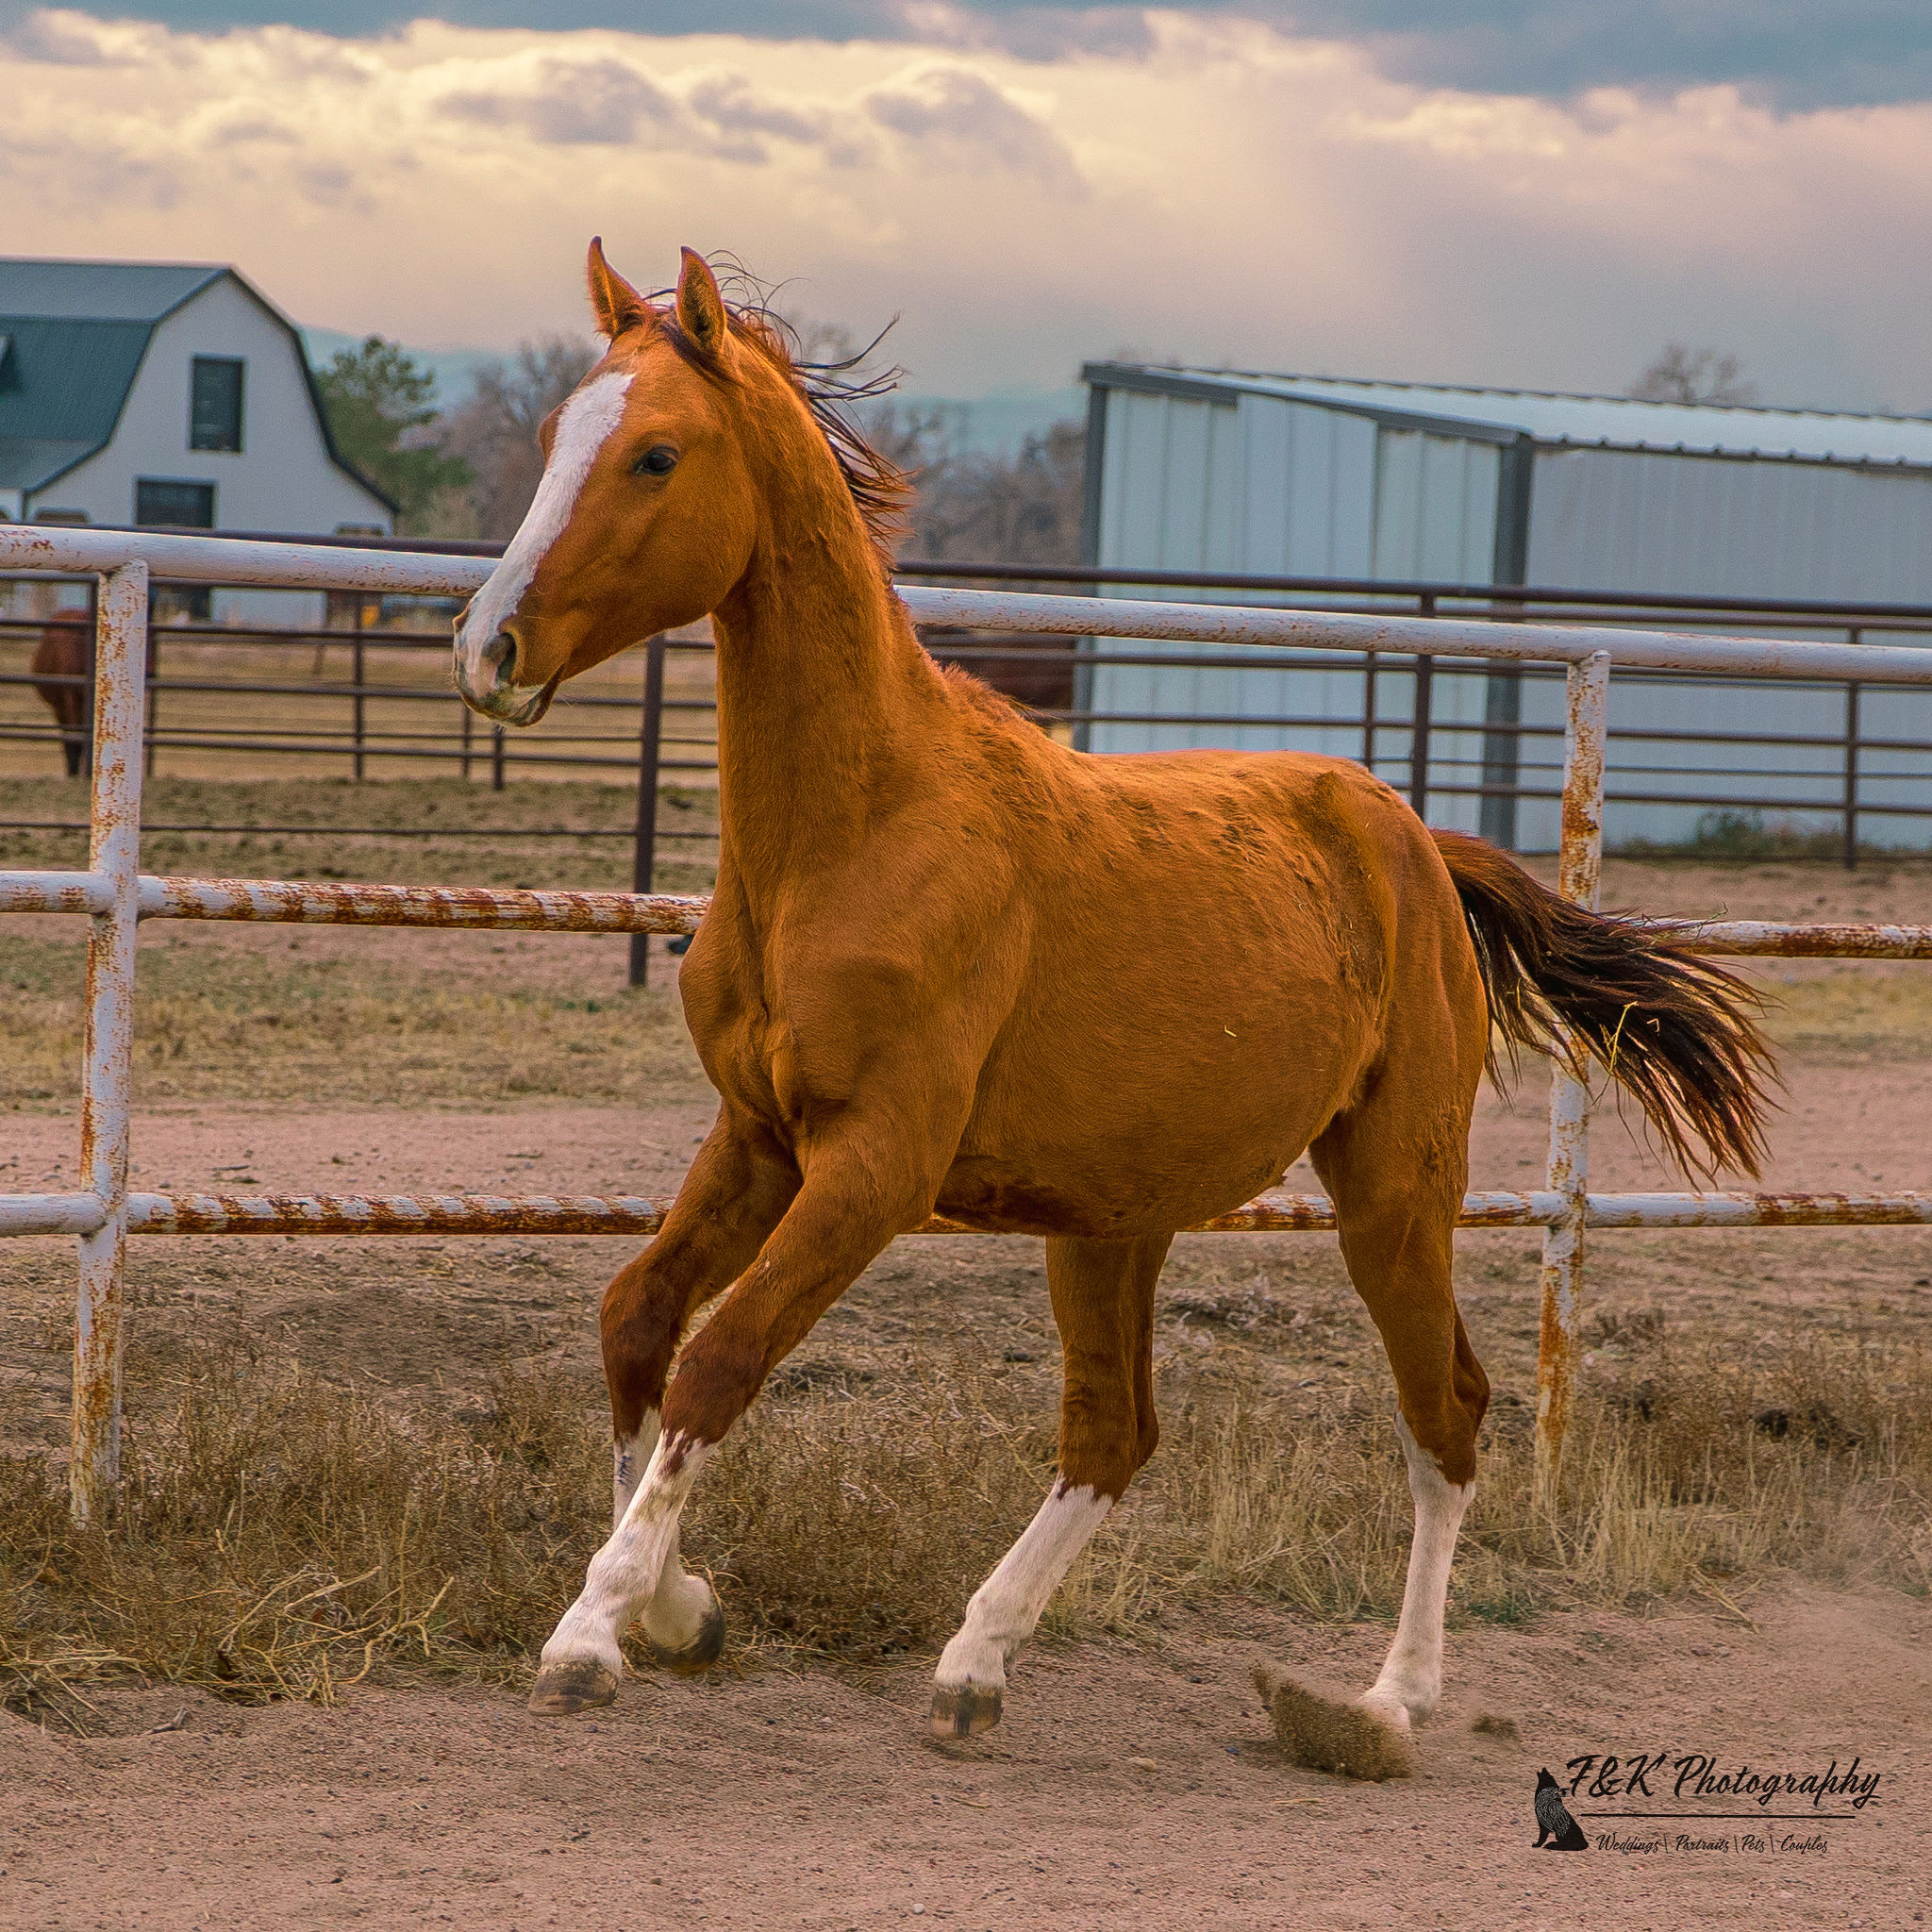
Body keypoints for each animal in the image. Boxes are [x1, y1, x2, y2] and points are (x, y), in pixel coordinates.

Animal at [452, 241, 1773, 1772]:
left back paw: (1386, 1700)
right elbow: (638, 1320)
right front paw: (682, 1607)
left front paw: (592, 1635)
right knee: (1113, 1432)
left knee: (1443, 1412)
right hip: (1110, 1219)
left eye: (657, 453)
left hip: (1391, 1186)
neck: (853, 832)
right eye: (560, 434)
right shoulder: (757, 1137)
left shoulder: (874, 1166)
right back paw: (973, 1668)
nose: (488, 649)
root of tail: (1411, 843)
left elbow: (719, 1360)